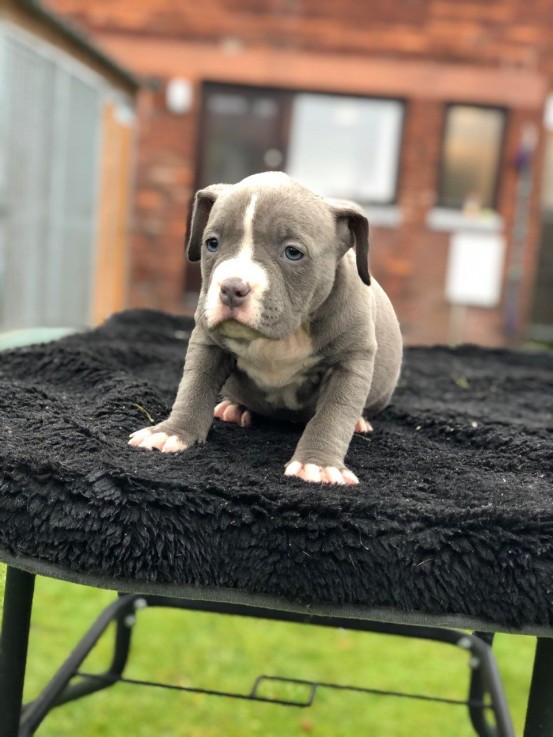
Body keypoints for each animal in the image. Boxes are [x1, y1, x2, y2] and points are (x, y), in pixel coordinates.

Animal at [132, 171, 404, 484]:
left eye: (293, 252)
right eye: (212, 243)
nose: (231, 288)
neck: (285, 334)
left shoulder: (350, 363)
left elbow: (334, 414)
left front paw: (318, 464)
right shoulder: (207, 342)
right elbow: (193, 387)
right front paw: (171, 433)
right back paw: (235, 407)